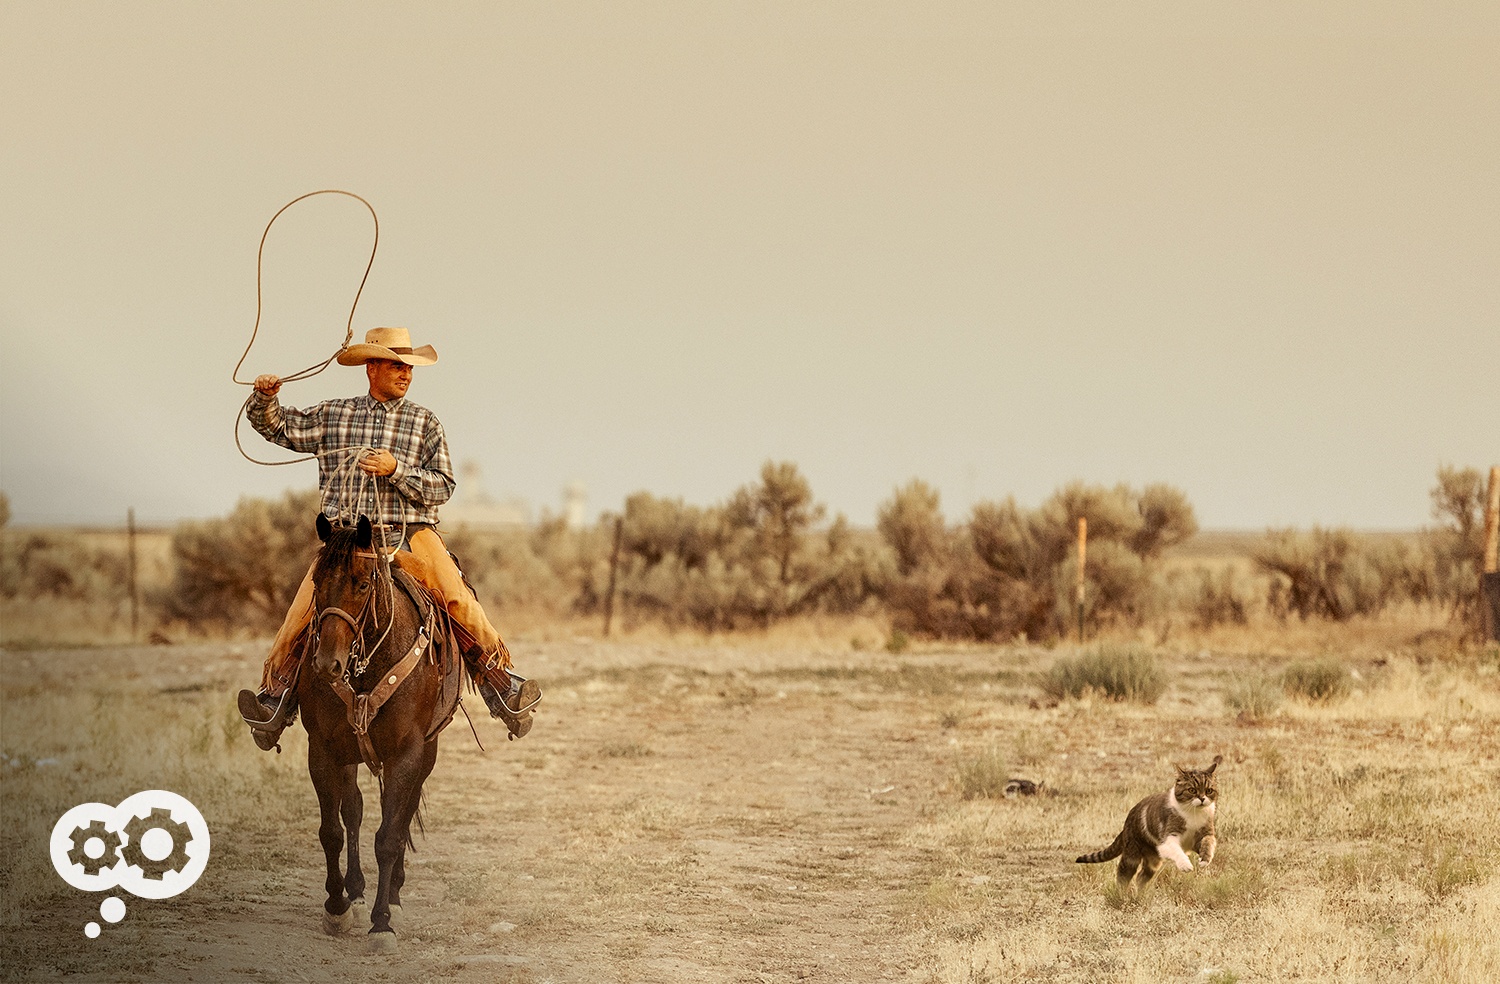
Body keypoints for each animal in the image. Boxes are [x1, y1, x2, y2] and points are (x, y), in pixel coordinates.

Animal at [294, 516, 453, 954]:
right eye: (316, 582)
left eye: (363, 584)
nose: (327, 664)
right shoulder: (323, 749)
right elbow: (331, 831)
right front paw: (336, 907)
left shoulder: (407, 754)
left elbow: (389, 838)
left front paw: (382, 923)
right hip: (350, 754)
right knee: (354, 810)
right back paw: (356, 890)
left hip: (426, 755)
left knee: (400, 815)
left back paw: (392, 896)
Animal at [1080, 753, 1218, 894]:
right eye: (1192, 790)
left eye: (1209, 790)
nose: (1202, 799)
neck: (1193, 813)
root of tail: (1127, 823)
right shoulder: (1168, 839)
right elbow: (1177, 851)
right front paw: (1186, 865)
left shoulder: (1201, 836)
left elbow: (1209, 842)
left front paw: (1204, 860)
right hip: (1132, 855)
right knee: (1123, 875)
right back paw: (1121, 895)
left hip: (1153, 860)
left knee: (1141, 876)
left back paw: (1141, 895)